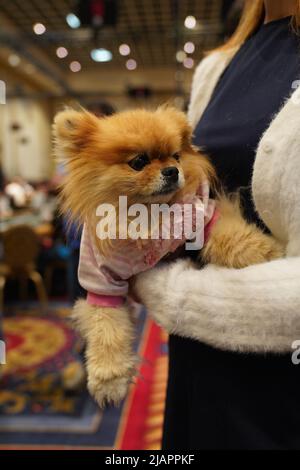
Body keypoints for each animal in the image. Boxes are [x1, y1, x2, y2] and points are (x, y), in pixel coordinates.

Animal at [54, 105, 284, 404]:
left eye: (176, 156)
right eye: (139, 161)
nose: (172, 171)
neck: (149, 216)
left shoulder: (202, 217)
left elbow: (232, 238)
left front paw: (264, 250)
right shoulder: (101, 282)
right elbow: (106, 327)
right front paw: (109, 376)